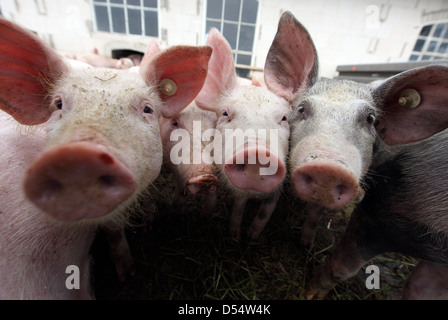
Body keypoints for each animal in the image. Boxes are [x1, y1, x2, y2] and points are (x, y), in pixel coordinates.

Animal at [196, 13, 318, 241]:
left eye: (284, 118)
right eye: (225, 114)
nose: (256, 153)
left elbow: (264, 208)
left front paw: (250, 236)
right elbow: (237, 204)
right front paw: (232, 234)